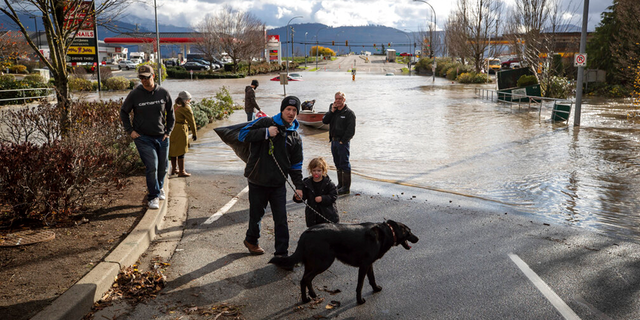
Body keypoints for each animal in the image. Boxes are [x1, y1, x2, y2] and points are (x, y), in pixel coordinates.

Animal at [268, 219, 418, 304]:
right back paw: (307, 298)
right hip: (323, 263)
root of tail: (306, 233)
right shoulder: (364, 265)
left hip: (312, 264)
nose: (418, 238)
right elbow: (360, 285)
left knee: (304, 280)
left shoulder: (369, 264)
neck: (387, 232)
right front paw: (359, 301)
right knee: (306, 279)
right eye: (409, 231)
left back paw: (310, 296)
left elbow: (372, 279)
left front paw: (375, 289)